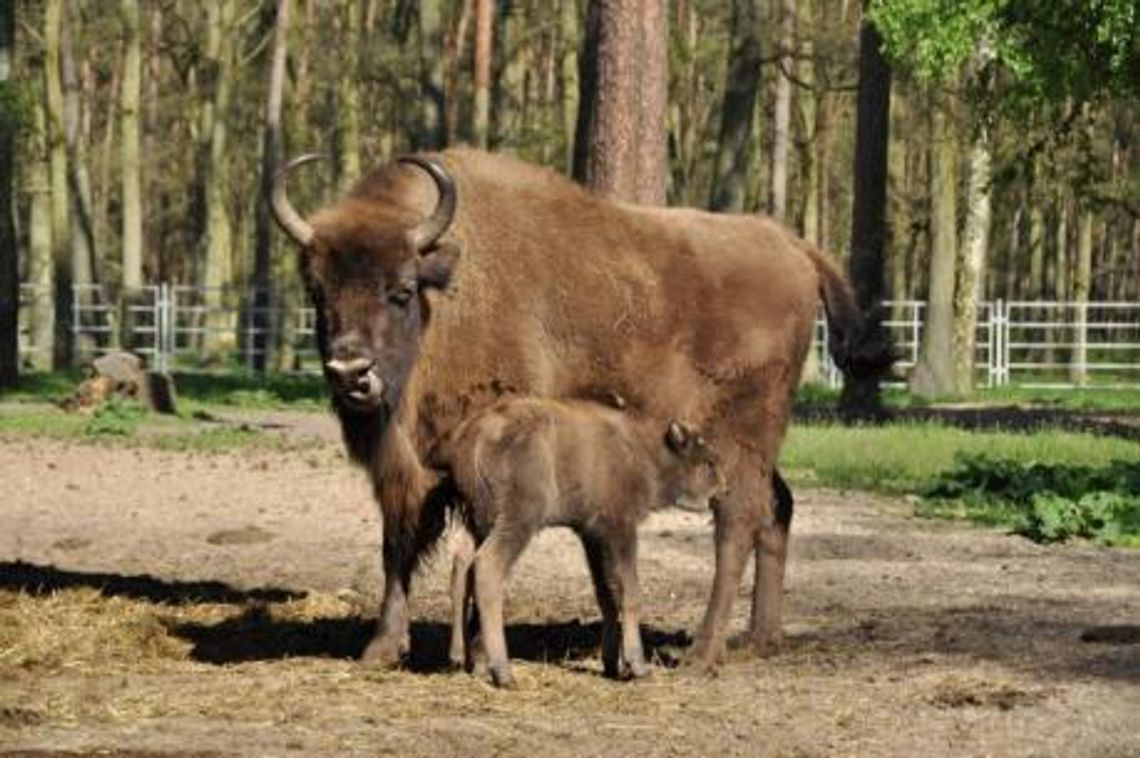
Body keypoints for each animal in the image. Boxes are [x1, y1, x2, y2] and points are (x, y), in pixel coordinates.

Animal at [430, 396, 725, 683]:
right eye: (708, 462)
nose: (723, 487)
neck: (645, 451)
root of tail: (473, 436)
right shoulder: (620, 530)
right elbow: (630, 591)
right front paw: (638, 666)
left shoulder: (591, 536)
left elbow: (607, 593)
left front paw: (611, 665)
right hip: (518, 520)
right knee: (488, 567)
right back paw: (503, 673)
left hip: (479, 522)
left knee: (462, 567)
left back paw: (466, 659)